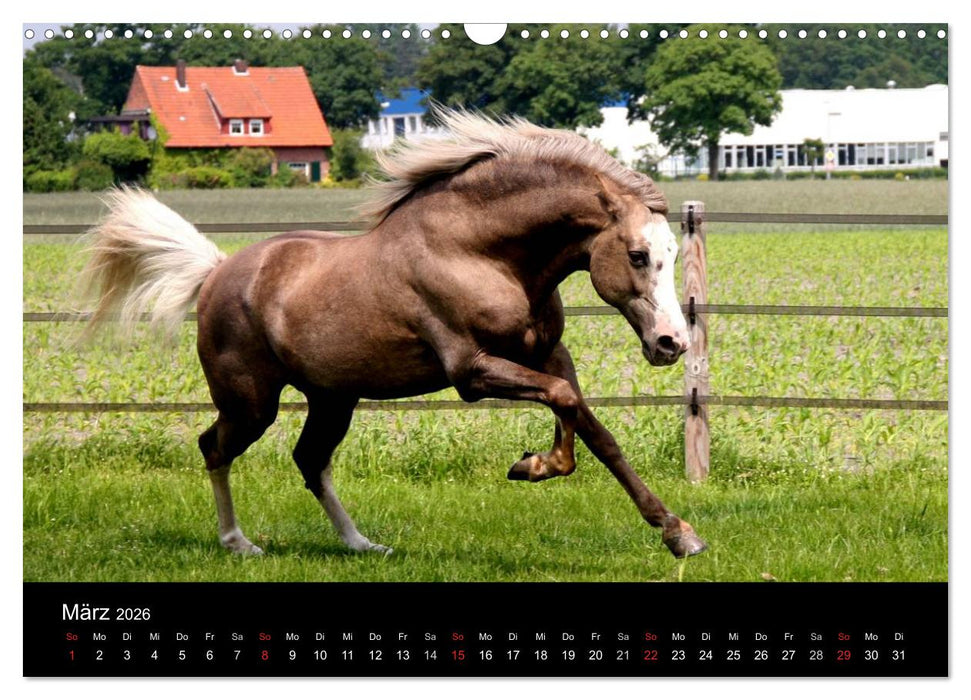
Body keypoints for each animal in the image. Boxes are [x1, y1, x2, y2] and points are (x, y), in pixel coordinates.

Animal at [80, 110, 708, 561]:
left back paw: (363, 544)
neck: (481, 252)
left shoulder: (549, 353)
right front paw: (533, 467)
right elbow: (566, 403)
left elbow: (589, 424)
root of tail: (215, 272)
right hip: (251, 402)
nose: (671, 344)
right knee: (214, 447)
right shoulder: (471, 371)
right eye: (638, 254)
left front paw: (677, 532)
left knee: (309, 460)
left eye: (673, 253)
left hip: (332, 398)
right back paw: (240, 544)